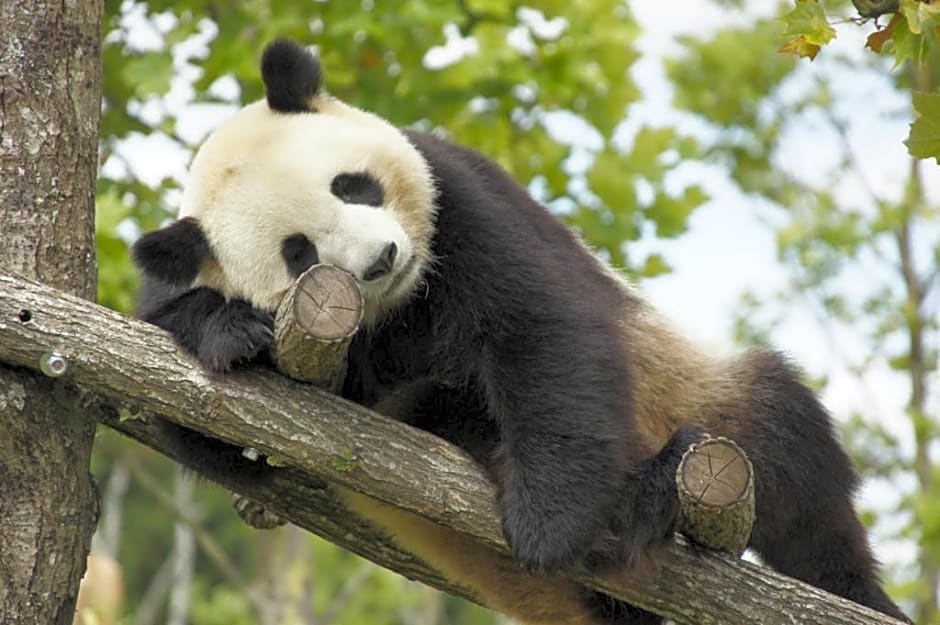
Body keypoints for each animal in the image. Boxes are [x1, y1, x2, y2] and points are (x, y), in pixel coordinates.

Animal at [132, 39, 912, 624]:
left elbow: (541, 329)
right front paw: (228, 330)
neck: (401, 308)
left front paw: (549, 524)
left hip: (703, 399)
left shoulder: (461, 200)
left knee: (793, 469)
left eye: (352, 186)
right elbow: (218, 437)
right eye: (298, 252)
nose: (383, 257)